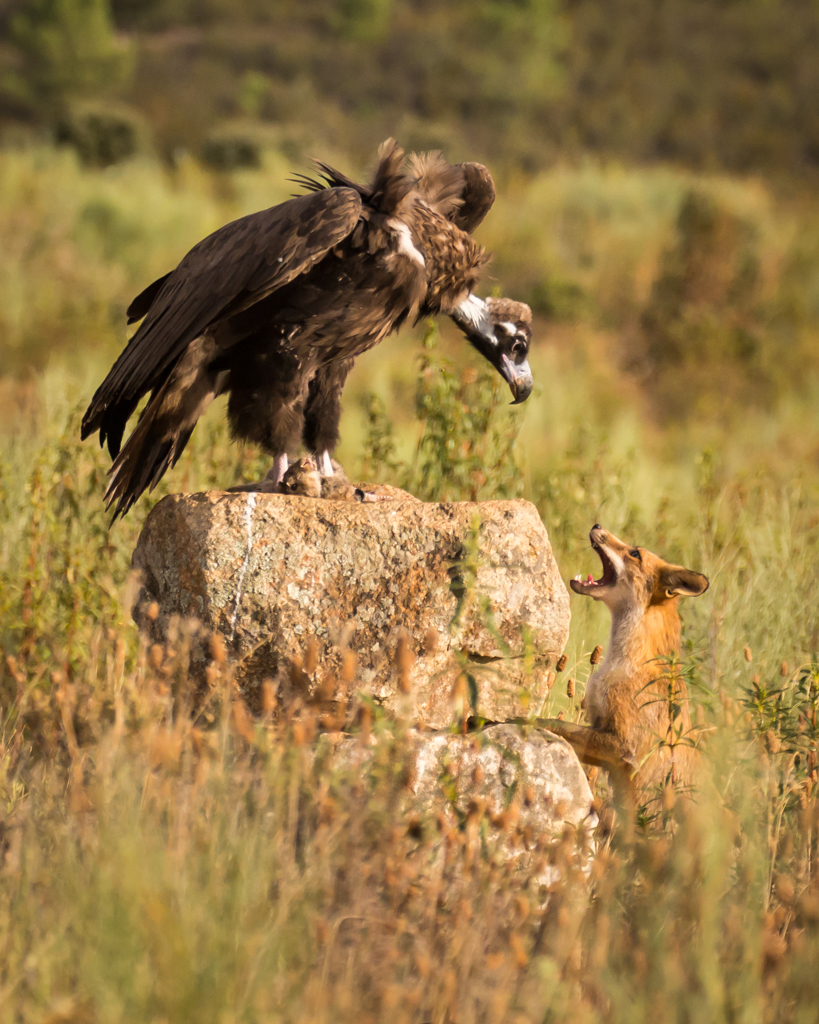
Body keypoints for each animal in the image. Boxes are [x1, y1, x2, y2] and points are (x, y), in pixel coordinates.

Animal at [540, 524, 708, 802]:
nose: (597, 526)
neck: (623, 661)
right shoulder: (599, 728)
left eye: (634, 553)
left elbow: (553, 724)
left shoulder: (624, 747)